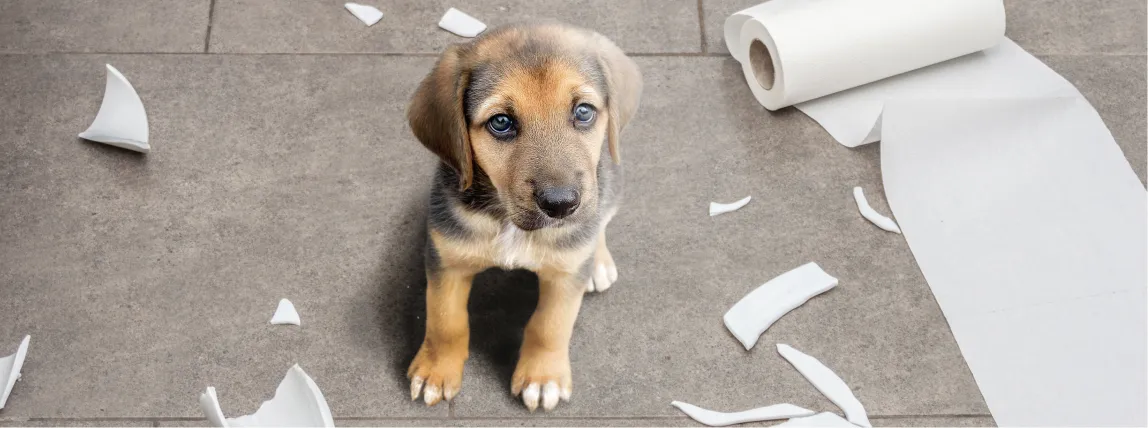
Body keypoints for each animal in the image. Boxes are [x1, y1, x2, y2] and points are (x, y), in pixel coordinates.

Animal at [401, 23, 638, 410]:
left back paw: (598, 262)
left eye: (583, 111)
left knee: (600, 221)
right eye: (501, 122)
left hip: (609, 184)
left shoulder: (564, 276)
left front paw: (543, 378)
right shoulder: (446, 259)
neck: (509, 222)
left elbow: (550, 326)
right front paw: (436, 370)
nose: (561, 205)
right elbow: (445, 320)